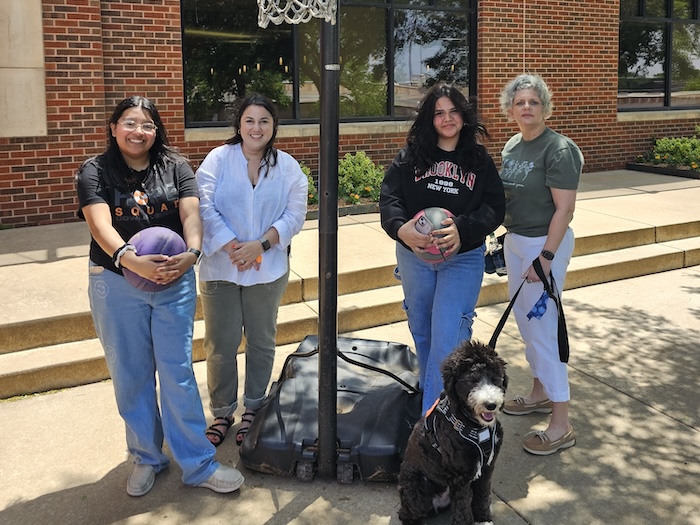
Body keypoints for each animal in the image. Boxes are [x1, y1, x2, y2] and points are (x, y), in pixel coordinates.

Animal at [400, 340, 508, 524]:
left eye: (495, 380)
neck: (476, 427)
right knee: (407, 514)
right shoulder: (460, 478)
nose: (491, 404)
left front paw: (483, 518)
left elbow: (482, 496)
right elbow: (463, 508)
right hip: (416, 488)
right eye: (472, 380)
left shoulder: (487, 469)